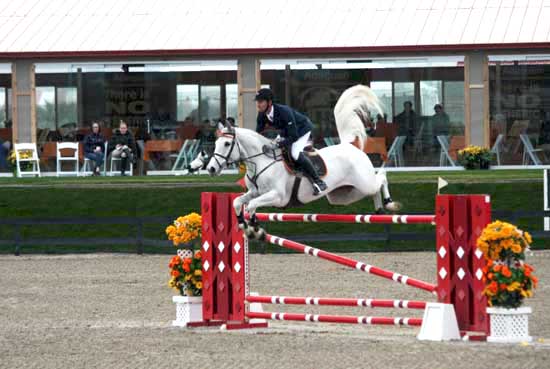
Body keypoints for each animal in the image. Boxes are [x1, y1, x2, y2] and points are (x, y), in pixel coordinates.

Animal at [207, 85, 402, 237]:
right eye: (215, 143)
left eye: (226, 143)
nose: (210, 169)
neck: (261, 161)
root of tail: (350, 145)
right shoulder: (255, 191)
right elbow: (238, 202)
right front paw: (244, 224)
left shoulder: (278, 196)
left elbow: (251, 205)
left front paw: (253, 226)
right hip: (344, 195)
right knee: (373, 190)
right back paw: (379, 209)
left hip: (363, 182)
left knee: (381, 177)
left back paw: (389, 203)